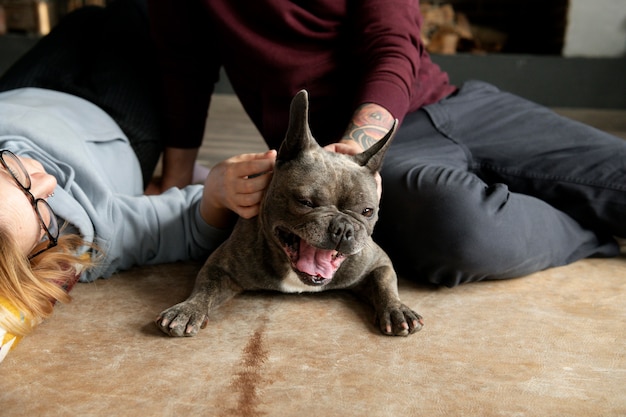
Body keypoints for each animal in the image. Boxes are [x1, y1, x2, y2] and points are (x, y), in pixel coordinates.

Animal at [154, 89, 422, 336]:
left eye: (367, 211)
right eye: (305, 202)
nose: (343, 227)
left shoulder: (378, 262)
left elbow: (385, 283)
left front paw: (397, 309)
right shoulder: (221, 265)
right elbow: (205, 286)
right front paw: (188, 309)